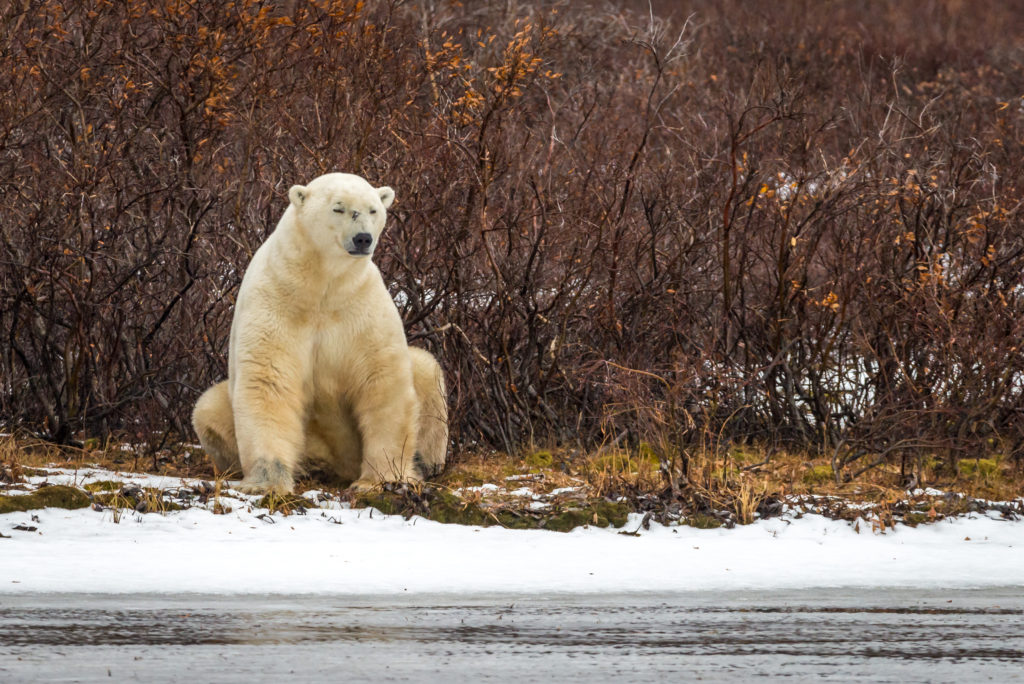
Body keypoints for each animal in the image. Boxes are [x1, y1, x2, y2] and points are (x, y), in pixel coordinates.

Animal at [191, 172, 447, 494]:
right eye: (339, 208)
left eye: (373, 209)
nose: (363, 238)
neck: (322, 288)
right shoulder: (276, 303)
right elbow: (268, 381)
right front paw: (267, 481)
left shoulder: (361, 307)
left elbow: (382, 379)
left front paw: (381, 479)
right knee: (207, 409)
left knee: (426, 368)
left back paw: (426, 462)